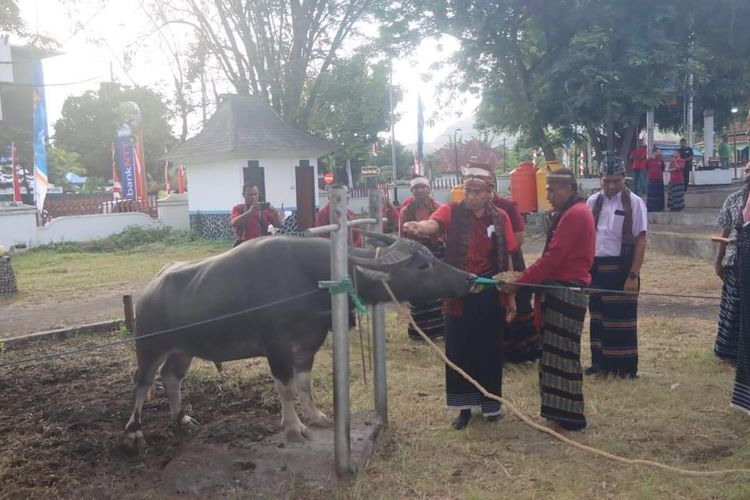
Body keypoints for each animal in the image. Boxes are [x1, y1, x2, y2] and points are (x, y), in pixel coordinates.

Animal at [125, 234, 476, 450]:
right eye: (422, 265)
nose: (468, 278)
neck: (313, 279)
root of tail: (148, 291)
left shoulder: (310, 342)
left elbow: (303, 383)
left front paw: (317, 417)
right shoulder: (276, 345)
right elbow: (286, 386)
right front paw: (294, 428)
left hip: (182, 350)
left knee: (172, 378)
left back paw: (180, 418)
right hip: (149, 347)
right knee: (142, 384)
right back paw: (135, 432)